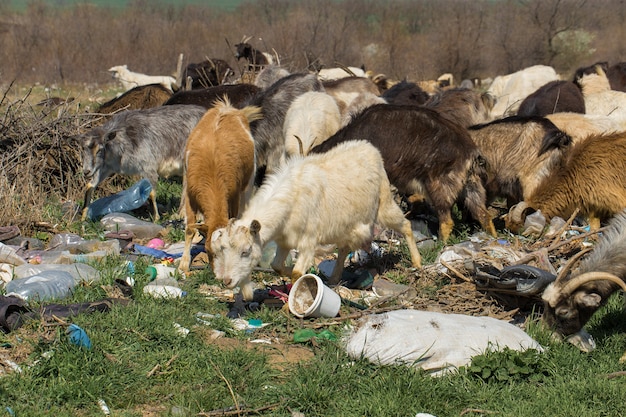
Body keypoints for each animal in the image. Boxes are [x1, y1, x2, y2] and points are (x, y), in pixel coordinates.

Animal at [77, 104, 206, 221]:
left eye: (99, 149)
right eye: (82, 149)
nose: (86, 171)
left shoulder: (149, 166)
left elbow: (151, 192)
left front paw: (156, 218)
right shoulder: (106, 168)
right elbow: (90, 186)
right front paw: (83, 217)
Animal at [178, 97, 260, 272]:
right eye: (209, 250)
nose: (219, 274)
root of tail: (227, 108)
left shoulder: (234, 194)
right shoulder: (190, 196)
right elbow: (189, 228)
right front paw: (184, 263)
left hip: (248, 182)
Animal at [208, 140, 420, 300]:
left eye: (246, 251)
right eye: (222, 250)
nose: (227, 281)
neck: (292, 196)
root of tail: (369, 147)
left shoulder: (308, 240)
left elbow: (297, 274)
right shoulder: (285, 242)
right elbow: (277, 266)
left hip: (384, 203)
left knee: (406, 225)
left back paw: (417, 262)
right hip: (346, 226)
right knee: (344, 248)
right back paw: (334, 278)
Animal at [310, 103, 494, 240]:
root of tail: (470, 151)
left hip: (439, 184)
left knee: (447, 220)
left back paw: (442, 245)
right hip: (472, 187)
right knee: (484, 215)